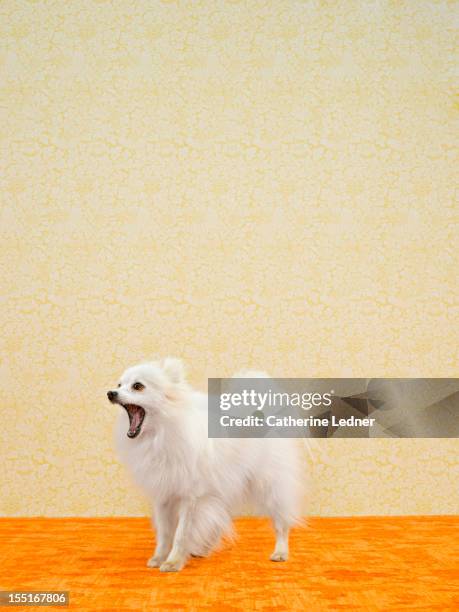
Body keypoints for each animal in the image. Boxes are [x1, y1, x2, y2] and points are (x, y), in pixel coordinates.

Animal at [108, 356, 306, 572]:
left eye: (138, 386)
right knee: (221, 517)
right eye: (119, 385)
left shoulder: (191, 497)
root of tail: (261, 418)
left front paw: (173, 562)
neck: (160, 434)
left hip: (270, 487)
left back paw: (280, 552)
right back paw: (204, 549)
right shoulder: (163, 495)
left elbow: (181, 533)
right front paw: (159, 557)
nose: (110, 393)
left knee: (280, 523)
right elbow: (165, 533)